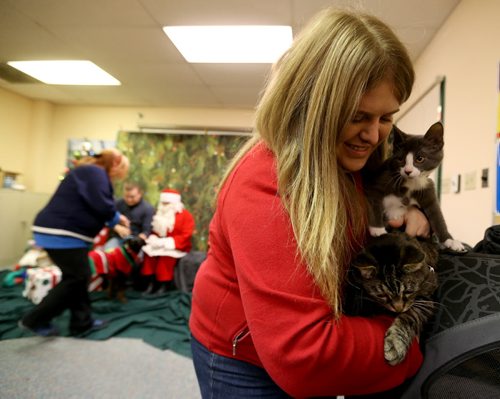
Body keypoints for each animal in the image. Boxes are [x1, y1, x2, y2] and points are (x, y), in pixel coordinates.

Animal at [344, 233, 438, 368]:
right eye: (382, 294)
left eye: (408, 291)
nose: (398, 309)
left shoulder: (426, 298)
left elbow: (409, 316)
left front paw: (395, 343)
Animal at [364, 122, 464, 253]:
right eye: (400, 159)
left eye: (420, 158)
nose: (408, 171)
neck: (412, 183)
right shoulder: (380, 180)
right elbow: (374, 201)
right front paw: (378, 230)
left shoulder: (427, 188)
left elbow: (437, 215)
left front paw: (450, 241)